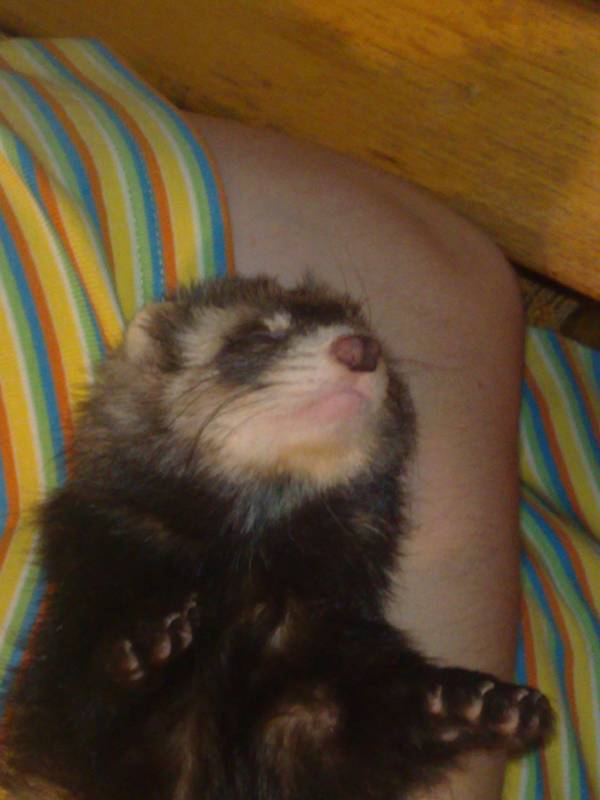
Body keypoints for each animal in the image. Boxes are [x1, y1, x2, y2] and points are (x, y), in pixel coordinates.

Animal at [0, 276, 552, 800]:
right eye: (257, 332)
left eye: (371, 332)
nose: (360, 348)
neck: (246, 588)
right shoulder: (80, 630)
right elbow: (88, 708)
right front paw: (147, 643)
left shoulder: (319, 677)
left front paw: (474, 703)